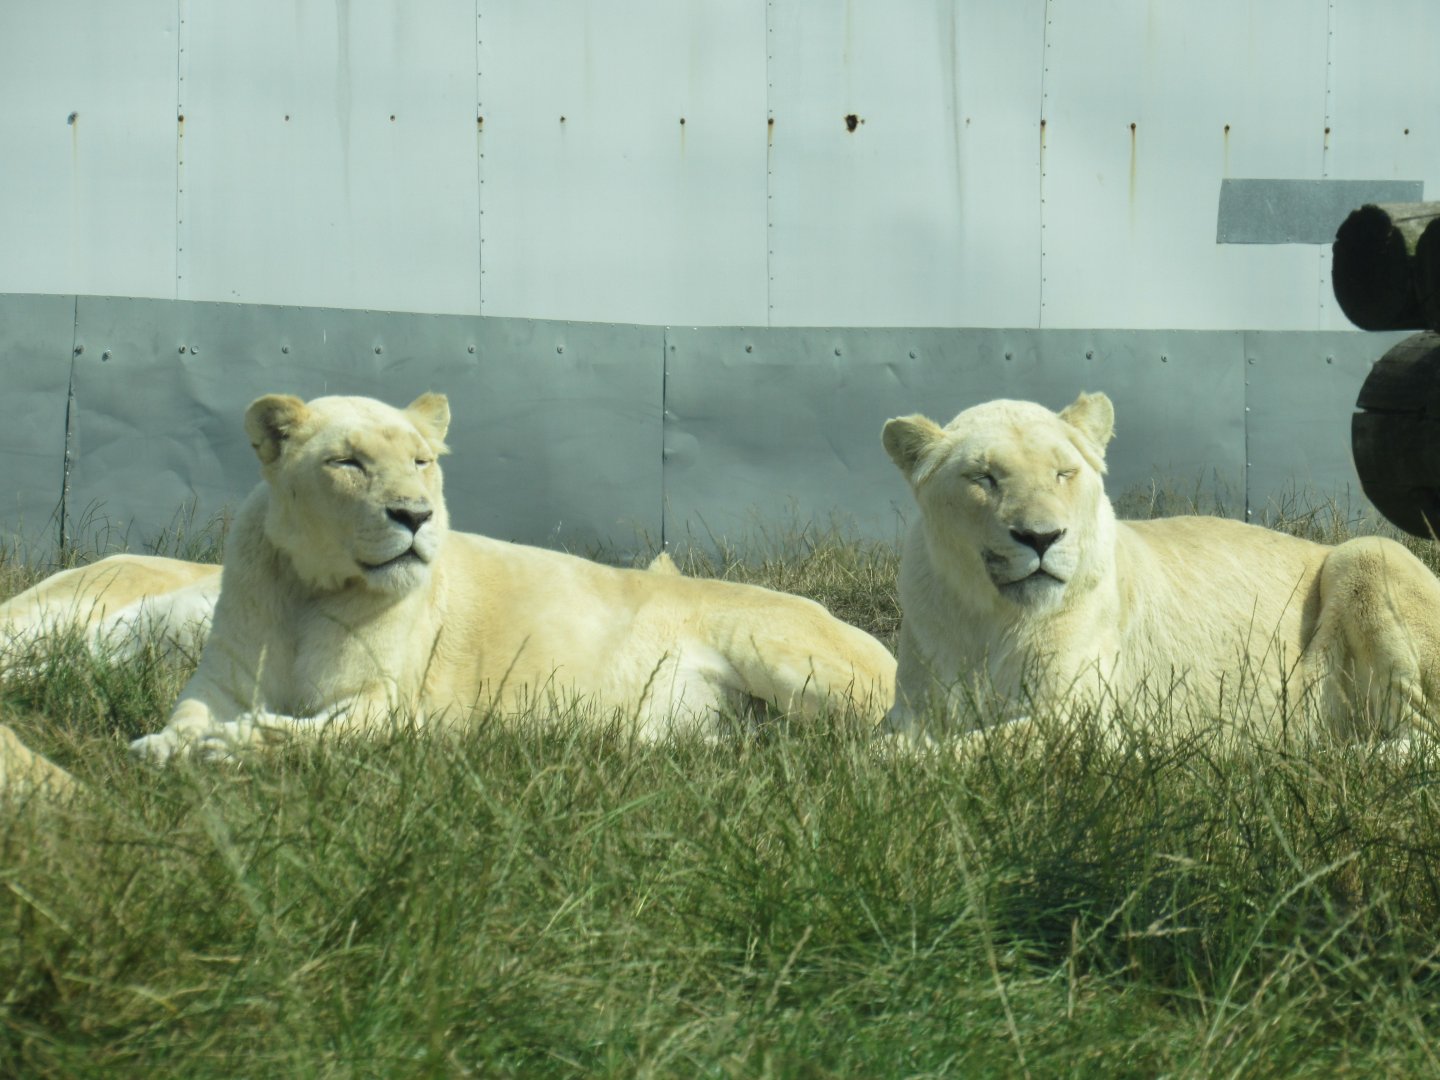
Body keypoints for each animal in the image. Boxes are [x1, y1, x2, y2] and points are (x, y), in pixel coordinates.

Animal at [129, 393, 895, 763]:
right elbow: (183, 717)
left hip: (787, 655)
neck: (308, 589)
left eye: (422, 461)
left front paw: (228, 746)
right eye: (347, 462)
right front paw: (163, 746)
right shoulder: (220, 681)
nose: (415, 515)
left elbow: (310, 732)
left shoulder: (390, 705)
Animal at [881, 391, 1440, 745]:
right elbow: (876, 750)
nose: (1041, 538)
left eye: (1064, 473)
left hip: (1365, 552)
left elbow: (951, 756)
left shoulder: (1083, 722)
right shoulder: (911, 708)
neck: (988, 619)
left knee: (1418, 740)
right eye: (984, 477)